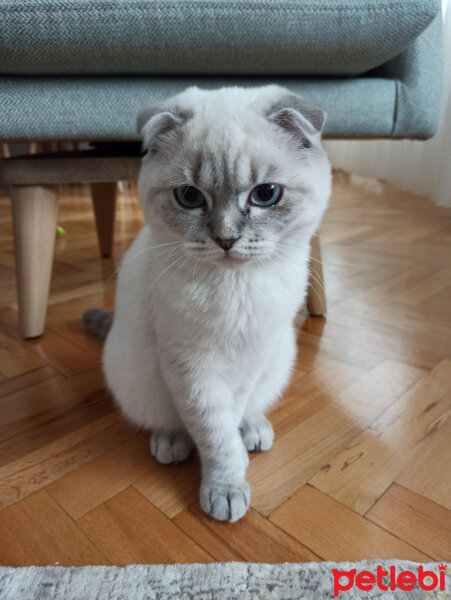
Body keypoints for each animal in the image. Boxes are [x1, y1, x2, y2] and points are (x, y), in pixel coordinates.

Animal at [84, 84, 332, 520]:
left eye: (265, 195)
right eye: (189, 197)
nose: (226, 239)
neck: (236, 288)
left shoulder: (254, 355)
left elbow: (231, 414)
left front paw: (237, 462)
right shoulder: (190, 366)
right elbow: (213, 432)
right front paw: (226, 487)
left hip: (279, 358)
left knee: (251, 408)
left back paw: (254, 431)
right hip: (136, 374)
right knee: (166, 419)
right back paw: (171, 443)